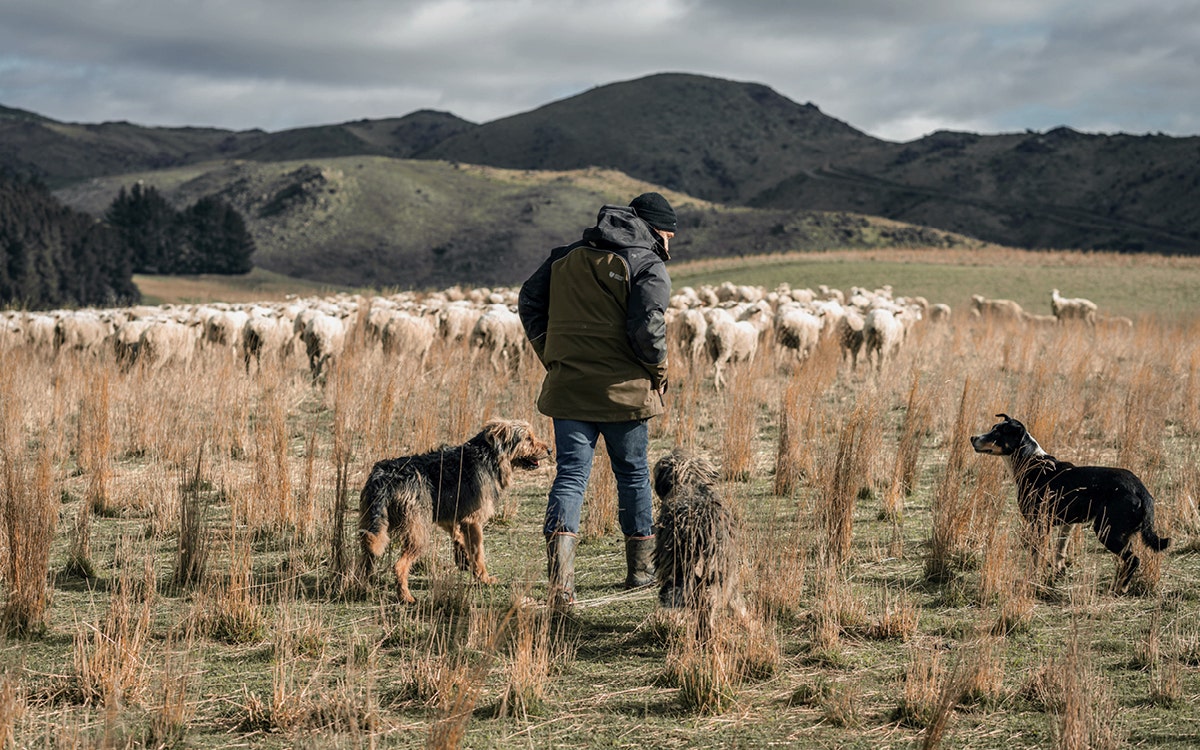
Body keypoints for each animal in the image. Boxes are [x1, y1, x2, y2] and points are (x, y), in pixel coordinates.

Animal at [357, 422, 549, 602]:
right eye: (528, 439)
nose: (550, 449)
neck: (489, 456)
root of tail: (384, 479)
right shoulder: (473, 520)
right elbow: (479, 553)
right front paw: (484, 578)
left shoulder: (449, 513)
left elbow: (458, 535)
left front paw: (463, 557)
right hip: (419, 534)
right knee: (399, 566)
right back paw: (406, 597)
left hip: (372, 528)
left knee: (367, 557)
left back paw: (364, 588)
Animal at [969, 412, 1166, 588]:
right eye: (993, 428)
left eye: (997, 433)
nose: (972, 437)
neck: (1033, 462)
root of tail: (1141, 489)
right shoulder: (1067, 523)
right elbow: (1060, 551)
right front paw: (1058, 573)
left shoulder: (1039, 524)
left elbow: (1035, 556)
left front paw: (1031, 579)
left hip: (1107, 531)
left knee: (1134, 560)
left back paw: (1120, 588)